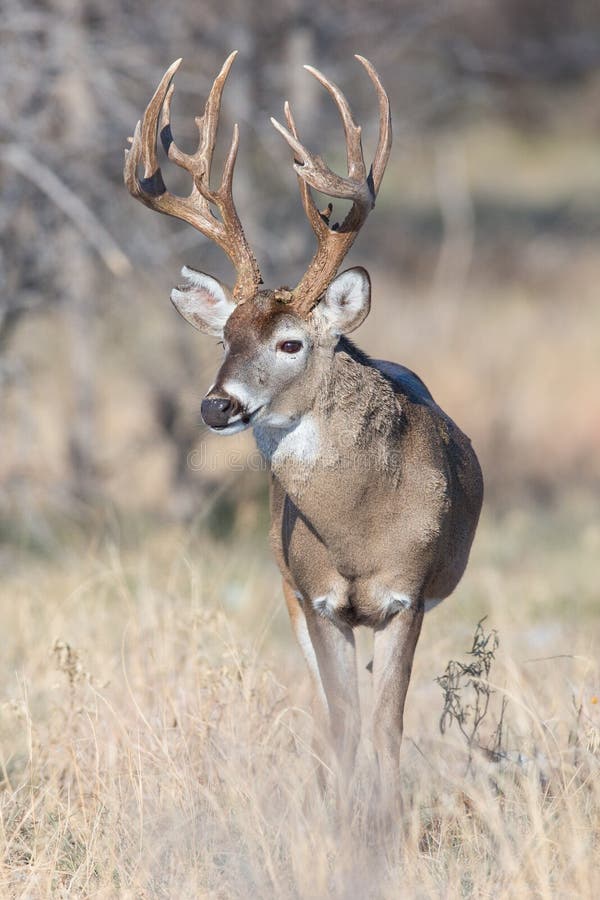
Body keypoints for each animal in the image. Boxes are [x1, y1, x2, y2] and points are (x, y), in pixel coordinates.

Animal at [125, 54, 482, 788]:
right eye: (225, 337)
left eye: (291, 343)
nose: (216, 405)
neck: (359, 529)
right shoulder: (317, 598)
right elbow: (344, 728)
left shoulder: (408, 595)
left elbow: (386, 730)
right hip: (286, 585)